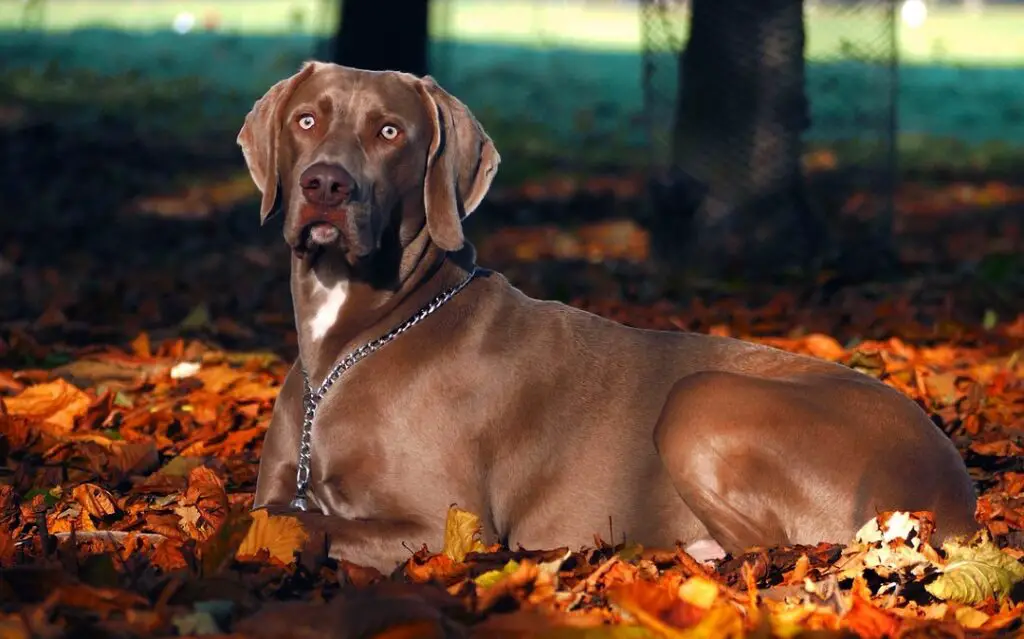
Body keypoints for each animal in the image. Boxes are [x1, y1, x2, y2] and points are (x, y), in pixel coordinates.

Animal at [235, 61, 978, 569]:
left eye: (389, 131)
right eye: (306, 121)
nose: (325, 184)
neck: (356, 342)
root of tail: (957, 496)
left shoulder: (443, 524)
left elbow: (290, 523)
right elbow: (268, 510)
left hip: (701, 400)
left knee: (771, 550)